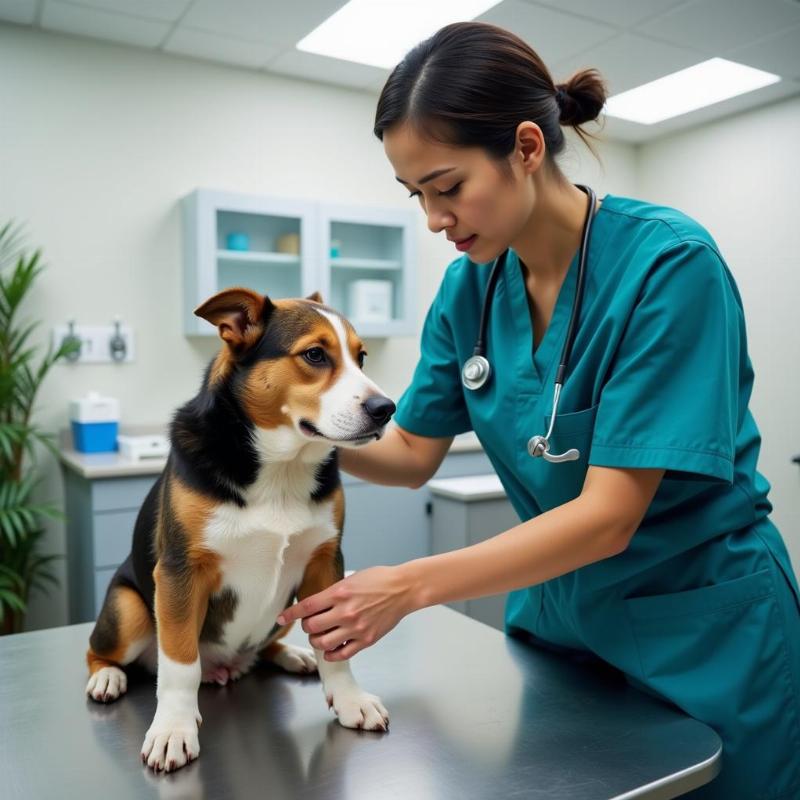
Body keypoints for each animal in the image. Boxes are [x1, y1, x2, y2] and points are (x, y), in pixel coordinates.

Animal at [85, 286, 396, 768]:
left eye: (361, 357)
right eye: (315, 354)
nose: (386, 409)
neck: (280, 469)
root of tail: (226, 666)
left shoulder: (324, 563)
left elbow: (335, 649)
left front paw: (349, 700)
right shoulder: (180, 572)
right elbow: (180, 664)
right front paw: (173, 729)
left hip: (289, 606)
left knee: (268, 644)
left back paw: (292, 655)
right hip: (129, 612)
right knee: (97, 651)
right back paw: (107, 679)